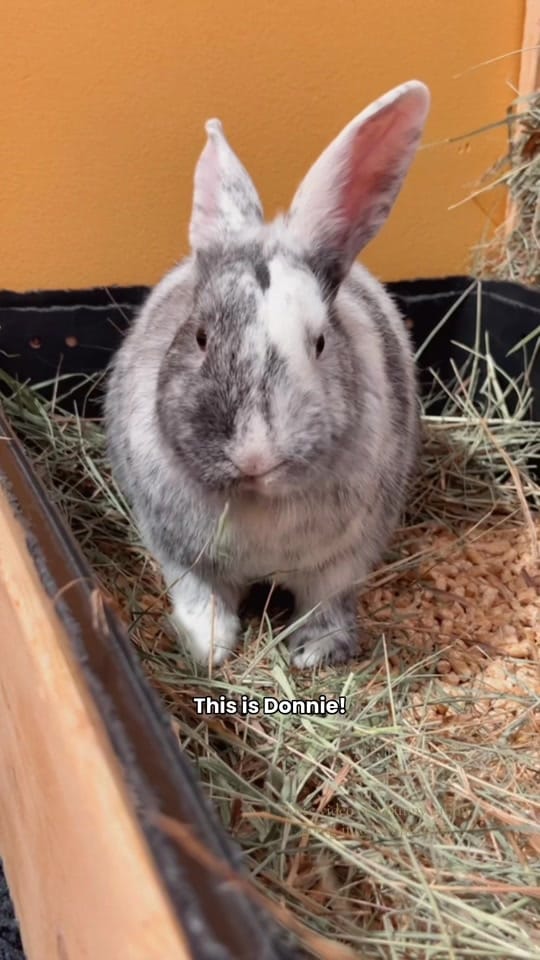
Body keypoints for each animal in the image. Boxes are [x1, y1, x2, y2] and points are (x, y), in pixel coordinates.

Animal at [104, 79, 431, 669]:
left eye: (320, 343)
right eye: (201, 337)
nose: (255, 456)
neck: (256, 501)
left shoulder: (342, 561)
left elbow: (325, 602)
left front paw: (315, 653)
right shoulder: (180, 554)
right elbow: (200, 597)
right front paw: (208, 649)